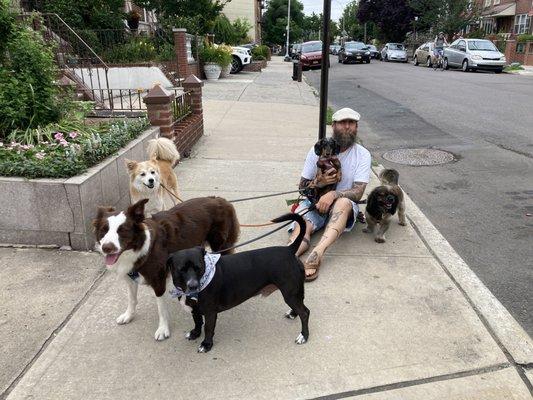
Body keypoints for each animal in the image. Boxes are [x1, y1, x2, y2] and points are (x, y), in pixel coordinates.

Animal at [166, 212, 308, 354]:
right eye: (181, 269)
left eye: (199, 267)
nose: (193, 286)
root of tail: (289, 250)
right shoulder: (195, 309)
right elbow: (197, 321)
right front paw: (195, 333)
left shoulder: (210, 312)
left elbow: (208, 328)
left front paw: (206, 344)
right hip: (295, 293)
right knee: (300, 307)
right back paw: (293, 314)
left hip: (290, 293)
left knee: (305, 313)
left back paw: (304, 336)